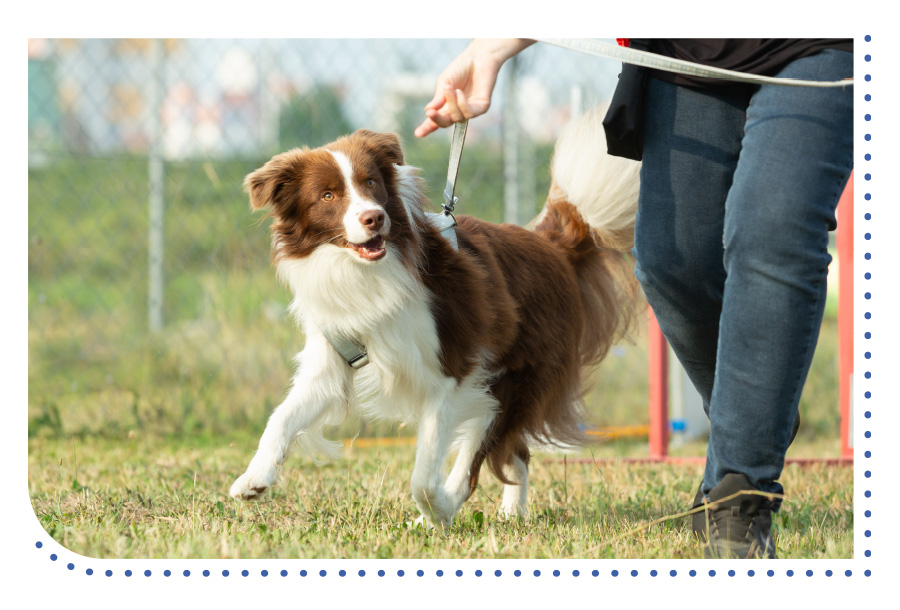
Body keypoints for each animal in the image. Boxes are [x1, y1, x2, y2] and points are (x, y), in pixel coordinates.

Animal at [230, 109, 640, 528]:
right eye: (327, 195)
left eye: (371, 183)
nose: (374, 218)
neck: (368, 273)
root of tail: (551, 245)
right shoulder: (333, 358)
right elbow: (282, 416)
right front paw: (255, 477)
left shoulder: (451, 373)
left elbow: (424, 475)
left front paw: (438, 509)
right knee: (516, 453)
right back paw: (510, 513)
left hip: (512, 380)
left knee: (481, 455)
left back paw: (447, 509)